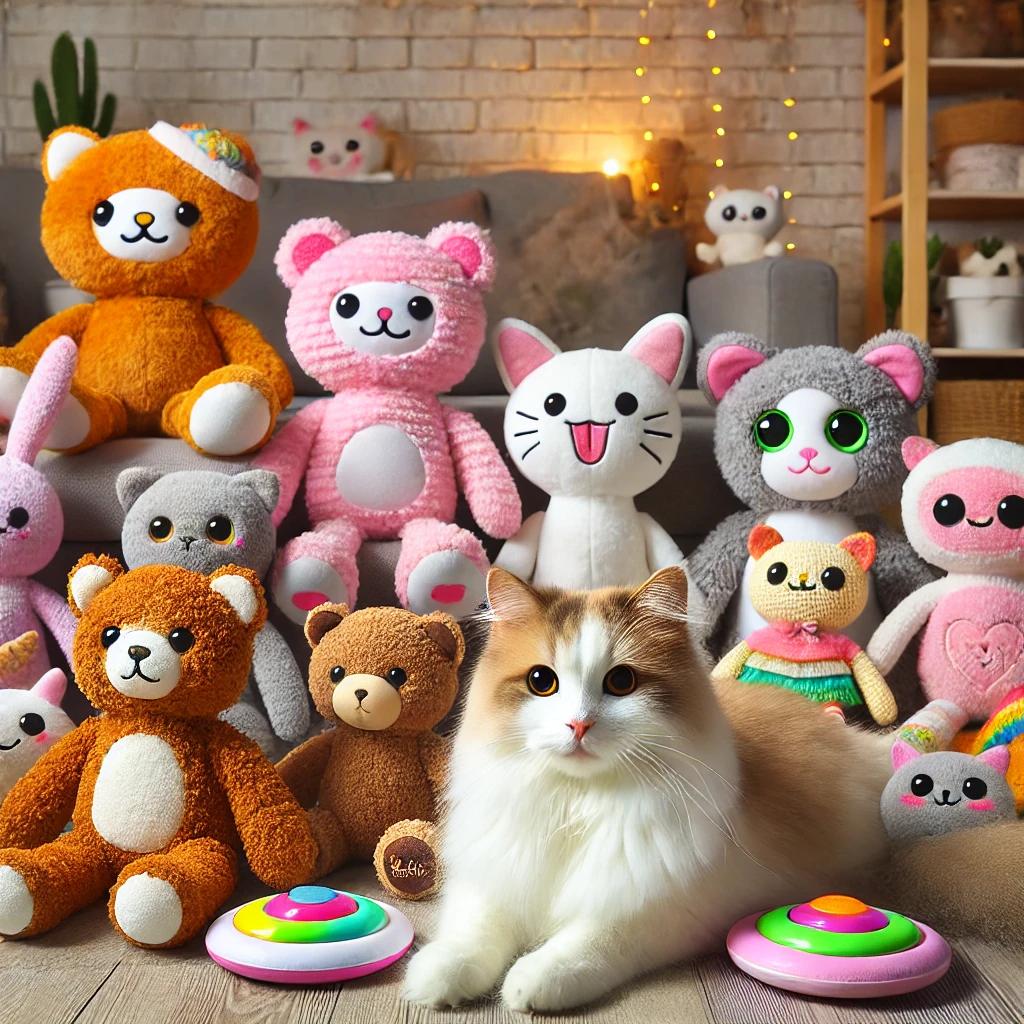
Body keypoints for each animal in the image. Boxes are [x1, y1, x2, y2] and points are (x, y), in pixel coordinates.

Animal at [403, 569, 1024, 1015]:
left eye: (621, 682)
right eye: (541, 682)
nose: (578, 725)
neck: (580, 801)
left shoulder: (661, 907)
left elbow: (588, 942)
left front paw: (532, 979)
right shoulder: (494, 872)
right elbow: (472, 935)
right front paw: (434, 977)